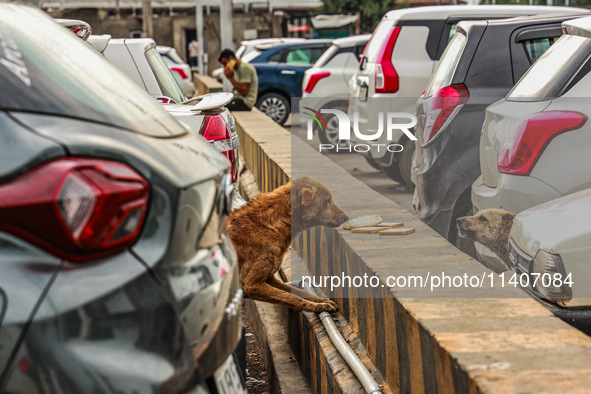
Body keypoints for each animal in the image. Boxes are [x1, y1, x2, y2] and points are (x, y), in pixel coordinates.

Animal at [225, 177, 346, 312]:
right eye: (328, 200)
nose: (346, 217)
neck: (270, 225)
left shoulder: (269, 278)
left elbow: (299, 292)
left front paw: (321, 300)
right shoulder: (252, 285)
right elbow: (289, 296)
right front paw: (317, 306)